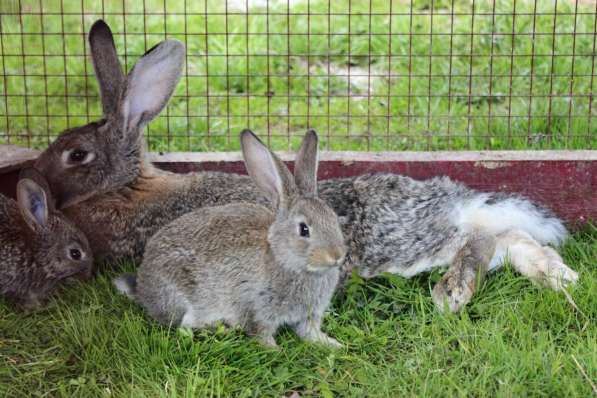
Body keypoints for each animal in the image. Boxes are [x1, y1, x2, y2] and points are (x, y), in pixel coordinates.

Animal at [33, 18, 576, 312]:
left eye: (75, 153)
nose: (33, 177)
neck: (129, 187)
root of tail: (457, 201)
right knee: (511, 239)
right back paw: (558, 276)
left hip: (403, 249)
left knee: (479, 240)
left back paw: (455, 291)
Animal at [114, 131, 346, 348]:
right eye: (304, 229)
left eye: (334, 218)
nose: (336, 256)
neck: (284, 259)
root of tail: (142, 287)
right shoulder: (257, 308)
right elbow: (261, 334)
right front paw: (275, 350)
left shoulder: (309, 315)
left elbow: (310, 333)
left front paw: (334, 345)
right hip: (182, 298)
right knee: (183, 326)